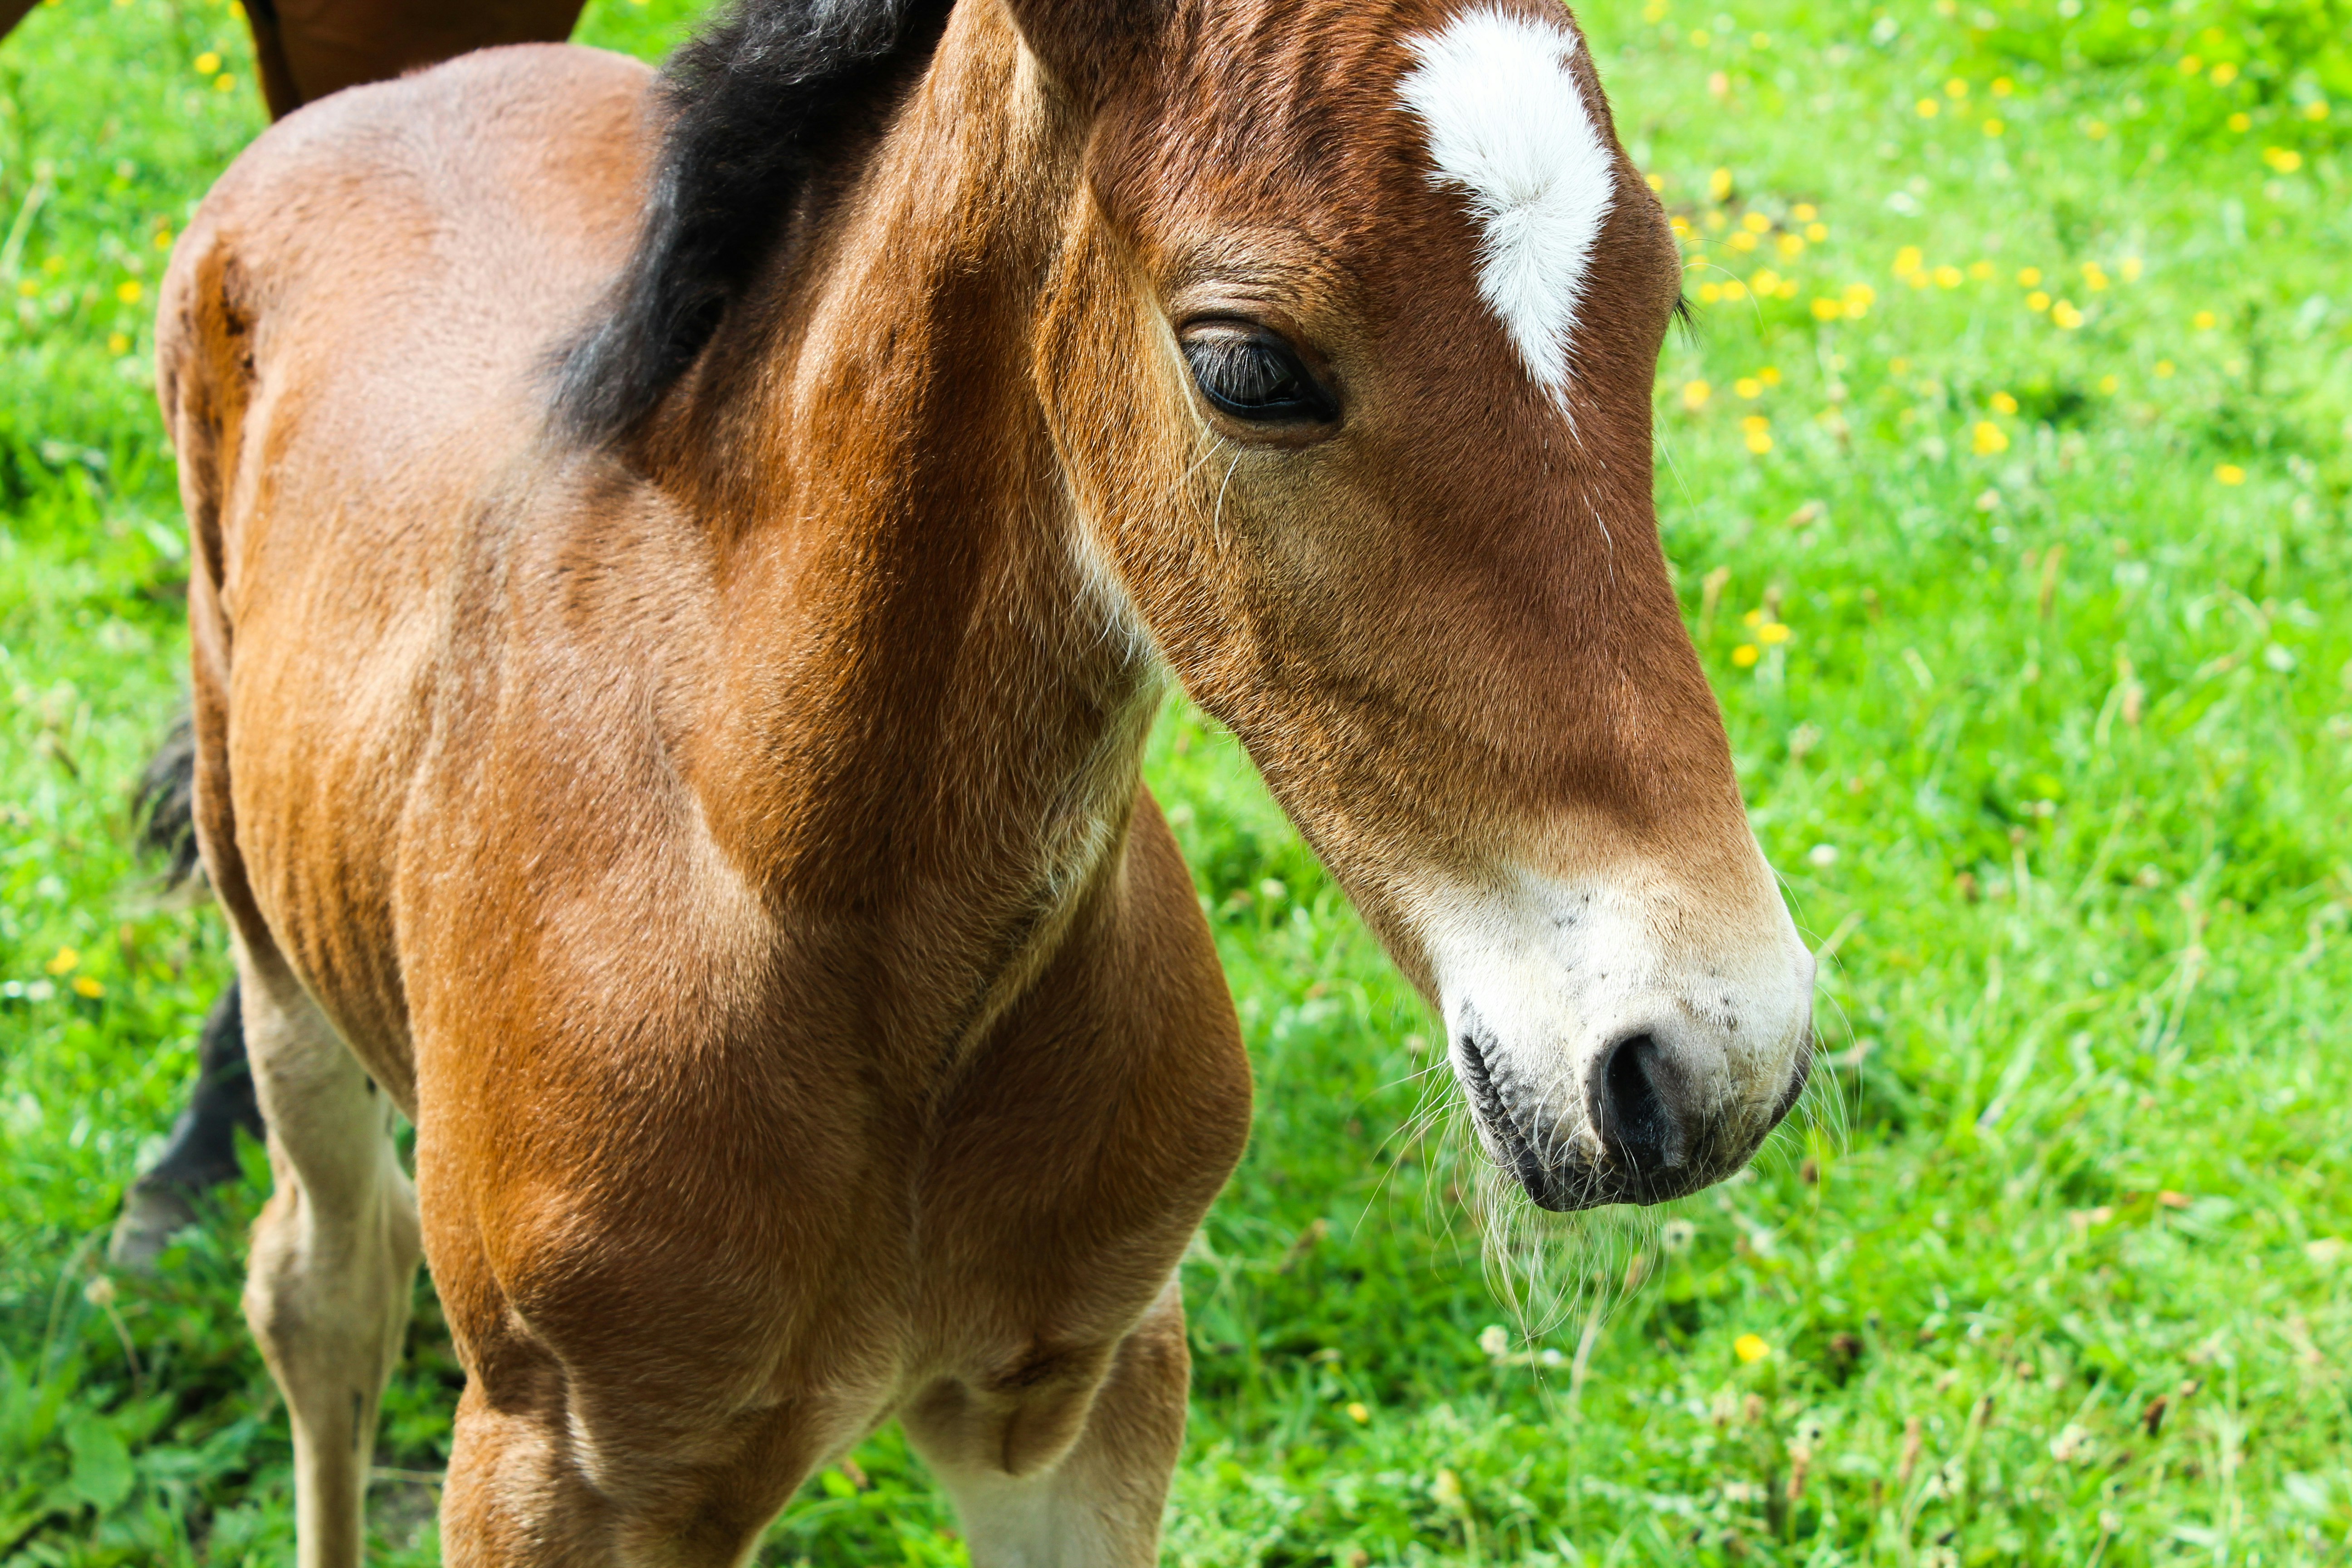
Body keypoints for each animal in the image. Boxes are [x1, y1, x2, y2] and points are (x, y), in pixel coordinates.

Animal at [154, 0, 1816, 1559]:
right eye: (1246, 367)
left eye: (1657, 303)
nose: (1712, 1057)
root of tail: (388, 93)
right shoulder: (555, 1471)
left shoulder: (1086, 1398)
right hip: (274, 947)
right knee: (320, 1287)